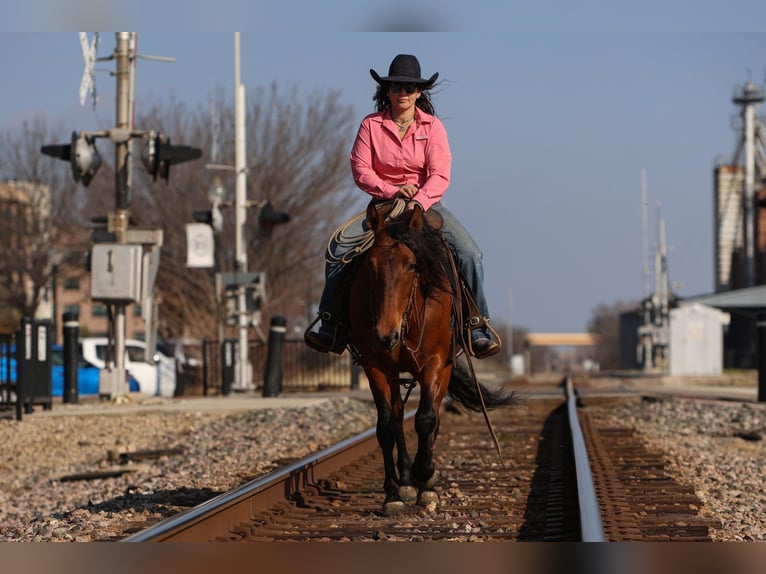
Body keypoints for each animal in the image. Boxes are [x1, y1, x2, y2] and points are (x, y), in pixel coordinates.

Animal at [350, 201, 520, 516]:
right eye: (370, 265)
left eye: (412, 265)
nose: (385, 334)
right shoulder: (375, 366)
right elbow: (386, 425)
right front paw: (393, 493)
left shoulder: (436, 362)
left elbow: (426, 419)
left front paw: (426, 479)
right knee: (397, 416)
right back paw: (406, 482)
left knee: (433, 416)